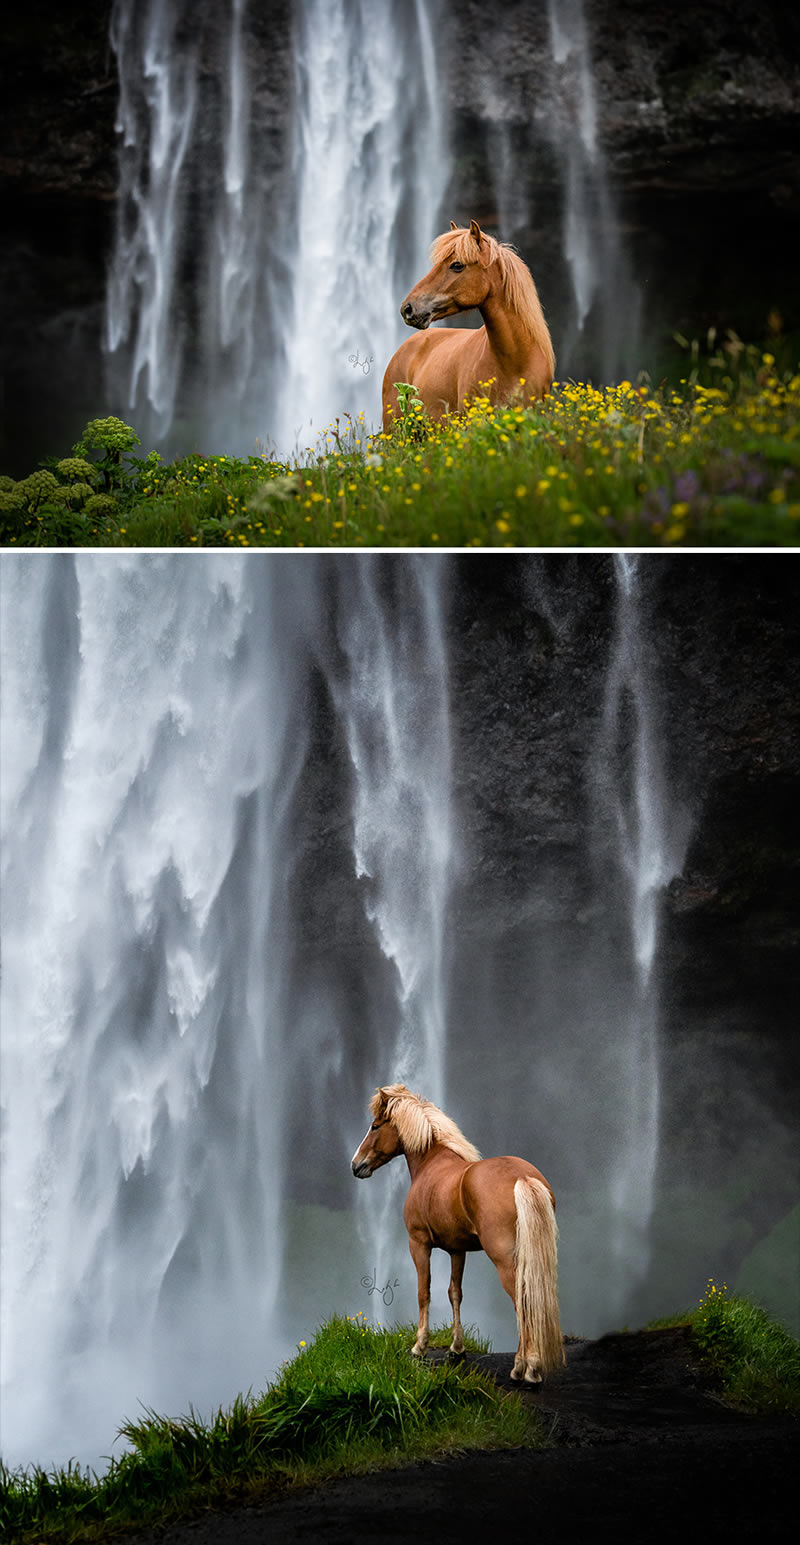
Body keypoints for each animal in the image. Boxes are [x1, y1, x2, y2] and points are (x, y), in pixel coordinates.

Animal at [352, 1081, 565, 1384]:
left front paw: (419, 1347)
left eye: (375, 1126)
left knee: (523, 1303)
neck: (431, 1164)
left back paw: (526, 1368)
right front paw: (456, 1349)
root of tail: (522, 1177)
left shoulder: (418, 1243)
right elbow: (455, 1293)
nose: (356, 1165)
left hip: (505, 1262)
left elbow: (424, 1291)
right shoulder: (457, 1250)